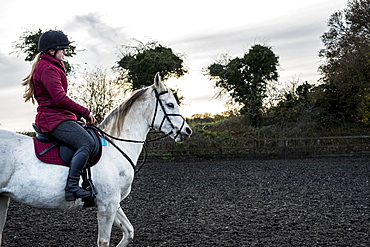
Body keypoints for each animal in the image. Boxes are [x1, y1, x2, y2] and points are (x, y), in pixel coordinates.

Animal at [0, 72, 192, 246]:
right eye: (170, 104)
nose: (187, 131)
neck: (115, 149)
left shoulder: (113, 203)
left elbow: (129, 232)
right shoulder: (107, 205)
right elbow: (104, 242)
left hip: (3, 197)